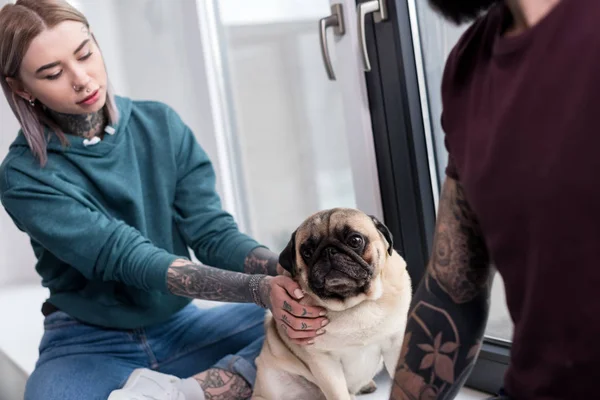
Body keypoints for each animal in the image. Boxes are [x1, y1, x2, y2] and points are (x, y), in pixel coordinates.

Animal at [252, 208, 412, 398]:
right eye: (307, 252)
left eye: (355, 240)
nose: (329, 251)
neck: (354, 304)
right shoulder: (324, 363)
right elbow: (338, 394)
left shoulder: (396, 345)